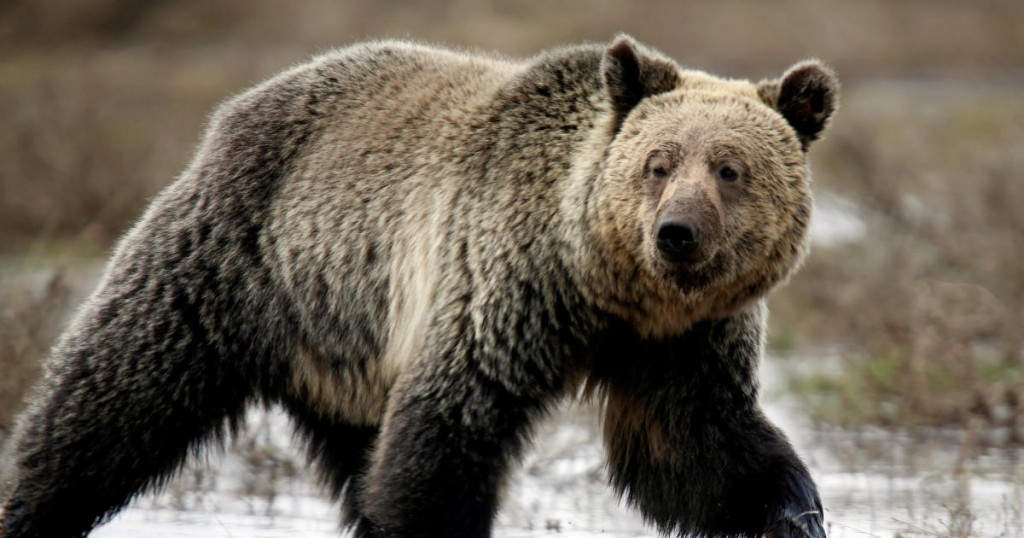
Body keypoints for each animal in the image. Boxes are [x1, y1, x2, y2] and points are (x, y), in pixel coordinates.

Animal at [0, 35, 837, 538]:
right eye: (658, 163)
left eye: (730, 169)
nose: (676, 232)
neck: (608, 287)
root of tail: (240, 105)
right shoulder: (503, 286)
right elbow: (448, 429)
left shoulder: (681, 342)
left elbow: (699, 447)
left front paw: (797, 512)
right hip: (233, 262)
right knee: (110, 401)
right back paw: (29, 504)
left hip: (347, 343)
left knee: (357, 454)